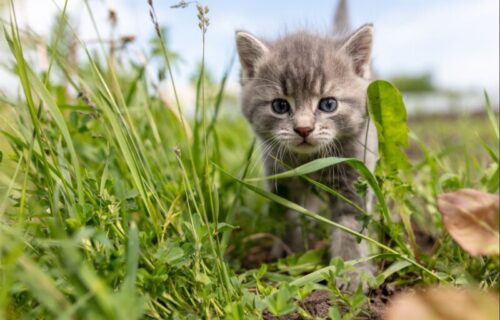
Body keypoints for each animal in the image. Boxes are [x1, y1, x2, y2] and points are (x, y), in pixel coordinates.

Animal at [236, 0, 376, 284]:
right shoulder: (281, 178)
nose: (303, 129)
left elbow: (350, 224)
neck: (310, 161)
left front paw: (352, 271)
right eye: (280, 106)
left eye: (328, 104)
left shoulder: (354, 174)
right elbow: (290, 216)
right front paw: (290, 252)